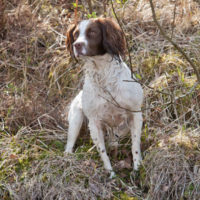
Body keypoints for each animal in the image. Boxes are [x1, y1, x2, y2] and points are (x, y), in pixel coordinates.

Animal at [65, 17, 143, 177]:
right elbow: (102, 152)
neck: (103, 74)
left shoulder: (136, 113)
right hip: (76, 119)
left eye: (92, 32)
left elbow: (135, 145)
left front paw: (137, 168)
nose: (77, 45)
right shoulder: (94, 122)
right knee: (69, 145)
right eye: (76, 35)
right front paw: (111, 174)